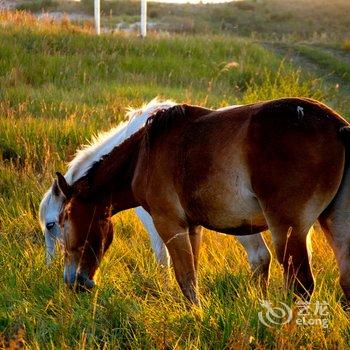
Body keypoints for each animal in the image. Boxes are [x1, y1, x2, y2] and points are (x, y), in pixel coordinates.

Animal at [56, 98, 350, 304]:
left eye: (62, 220)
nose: (73, 283)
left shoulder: (169, 226)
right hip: (334, 226)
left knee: (300, 287)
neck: (142, 154)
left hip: (287, 230)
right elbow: (192, 277)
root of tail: (339, 127)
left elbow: (185, 280)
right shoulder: (192, 227)